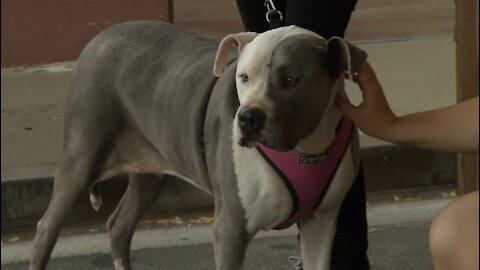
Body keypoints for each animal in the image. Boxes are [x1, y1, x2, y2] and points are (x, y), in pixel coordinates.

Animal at [29, 21, 368, 270]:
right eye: (244, 76)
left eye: (290, 80)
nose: (247, 118)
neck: (306, 148)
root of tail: (99, 36)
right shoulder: (230, 230)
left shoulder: (321, 223)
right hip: (80, 158)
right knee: (46, 229)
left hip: (149, 171)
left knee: (119, 227)